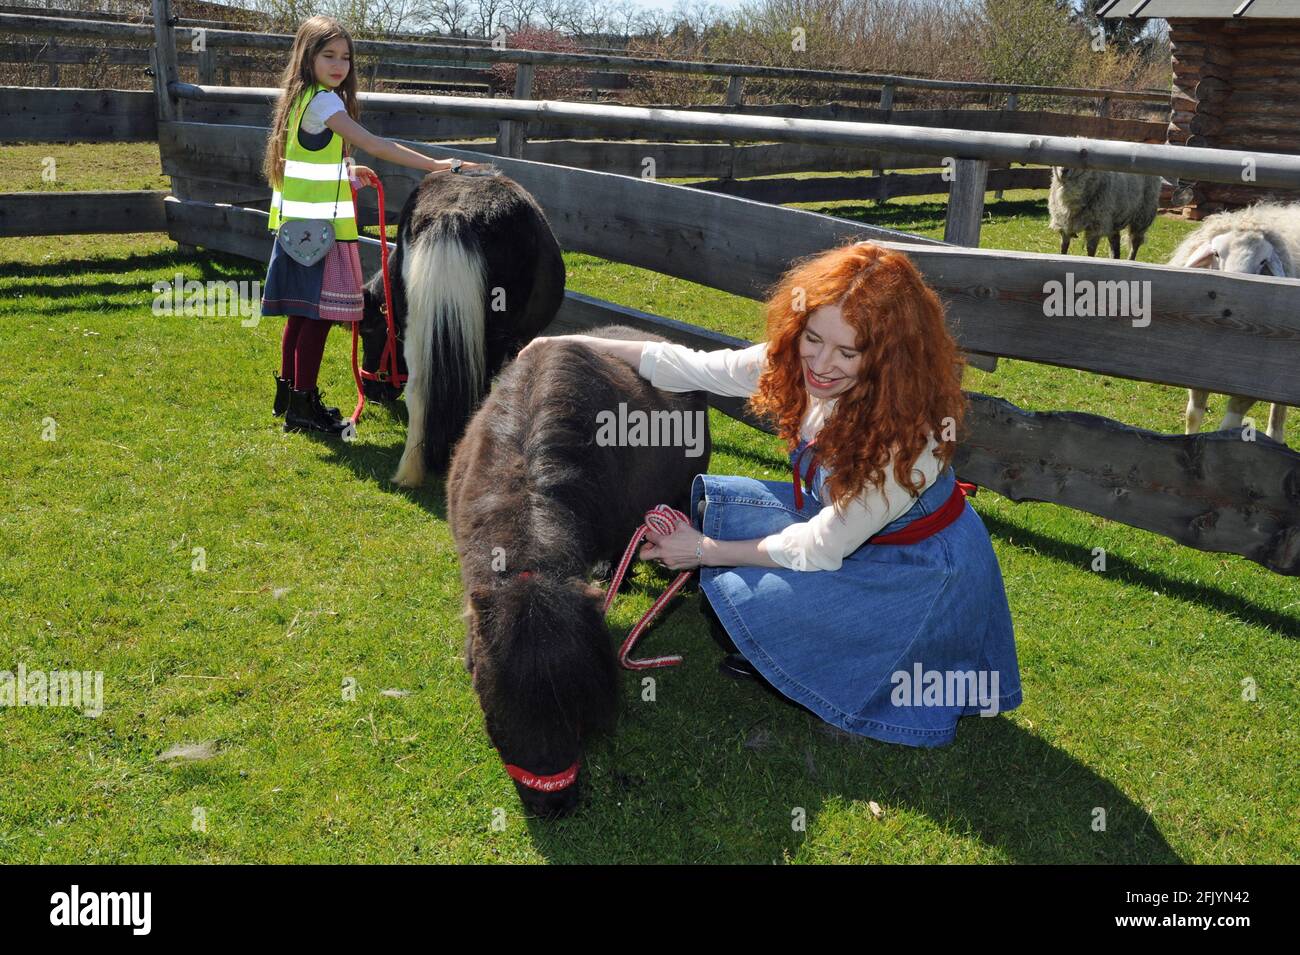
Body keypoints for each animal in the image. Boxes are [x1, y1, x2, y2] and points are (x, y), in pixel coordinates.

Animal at [1170, 201, 1300, 444]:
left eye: (1263, 262)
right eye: (1216, 254)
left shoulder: (1253, 383)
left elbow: (1229, 426)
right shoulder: (1196, 367)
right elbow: (1193, 415)